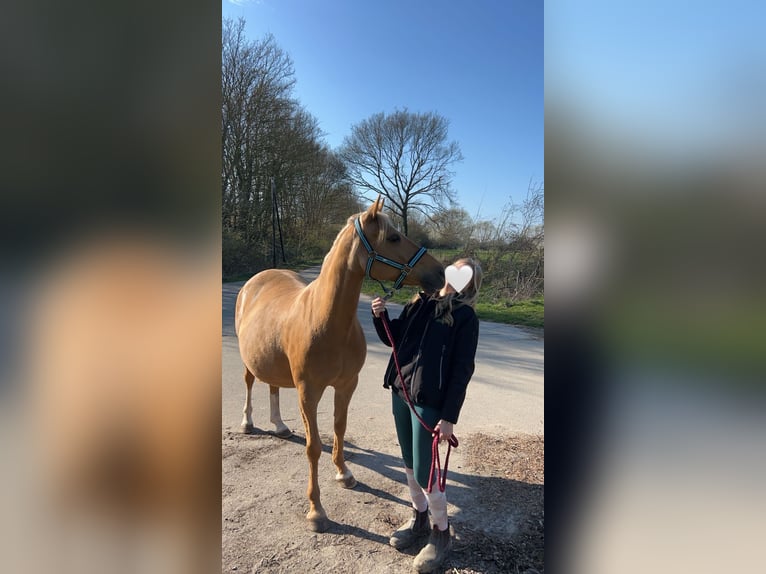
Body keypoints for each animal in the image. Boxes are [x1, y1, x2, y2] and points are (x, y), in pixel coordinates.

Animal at [234, 197, 444, 532]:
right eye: (393, 238)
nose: (439, 272)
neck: (326, 320)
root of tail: (255, 280)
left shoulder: (346, 385)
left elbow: (339, 428)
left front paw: (344, 473)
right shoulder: (308, 392)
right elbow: (313, 446)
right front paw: (316, 511)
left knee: (273, 387)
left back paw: (279, 425)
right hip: (248, 361)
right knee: (250, 383)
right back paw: (247, 422)